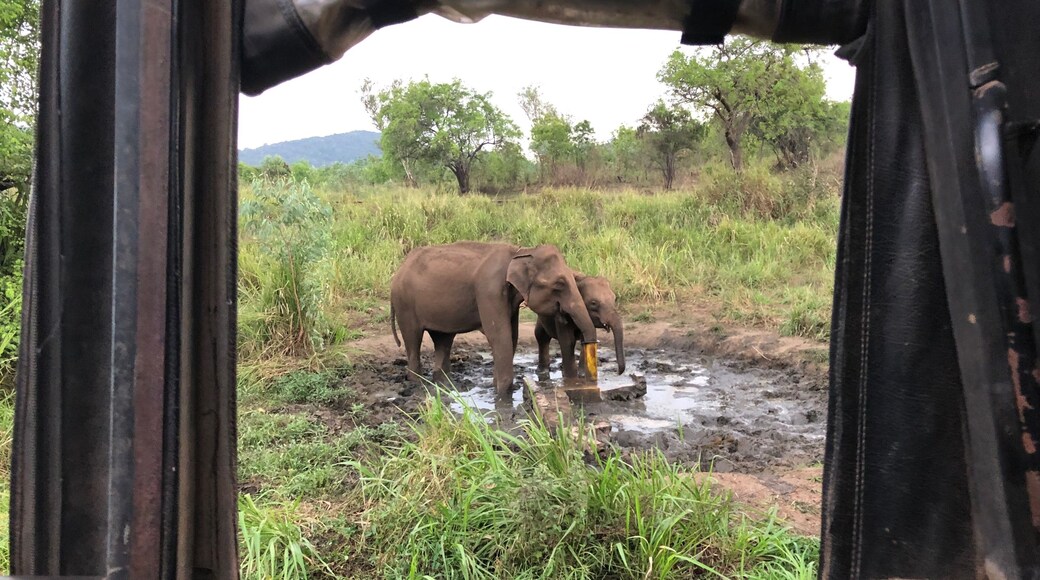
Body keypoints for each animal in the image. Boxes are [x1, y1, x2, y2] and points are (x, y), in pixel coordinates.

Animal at [389, 241, 598, 398]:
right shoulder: (489, 289)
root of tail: (400, 268)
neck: (521, 252)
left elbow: (511, 337)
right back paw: (417, 383)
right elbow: (499, 335)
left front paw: (497, 387)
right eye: (559, 284)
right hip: (405, 304)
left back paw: (444, 383)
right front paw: (503, 395)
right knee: (413, 340)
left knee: (443, 340)